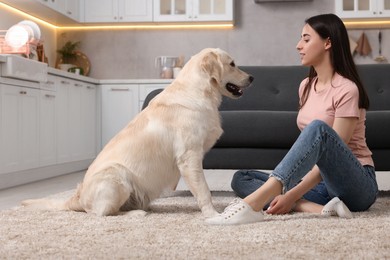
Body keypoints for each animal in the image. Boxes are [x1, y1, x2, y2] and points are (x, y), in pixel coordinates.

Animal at [22, 48, 253, 217]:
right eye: (232, 64)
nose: (251, 77)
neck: (198, 92)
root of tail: (77, 196)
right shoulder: (190, 157)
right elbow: (204, 190)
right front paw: (213, 214)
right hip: (118, 176)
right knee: (102, 213)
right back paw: (137, 214)